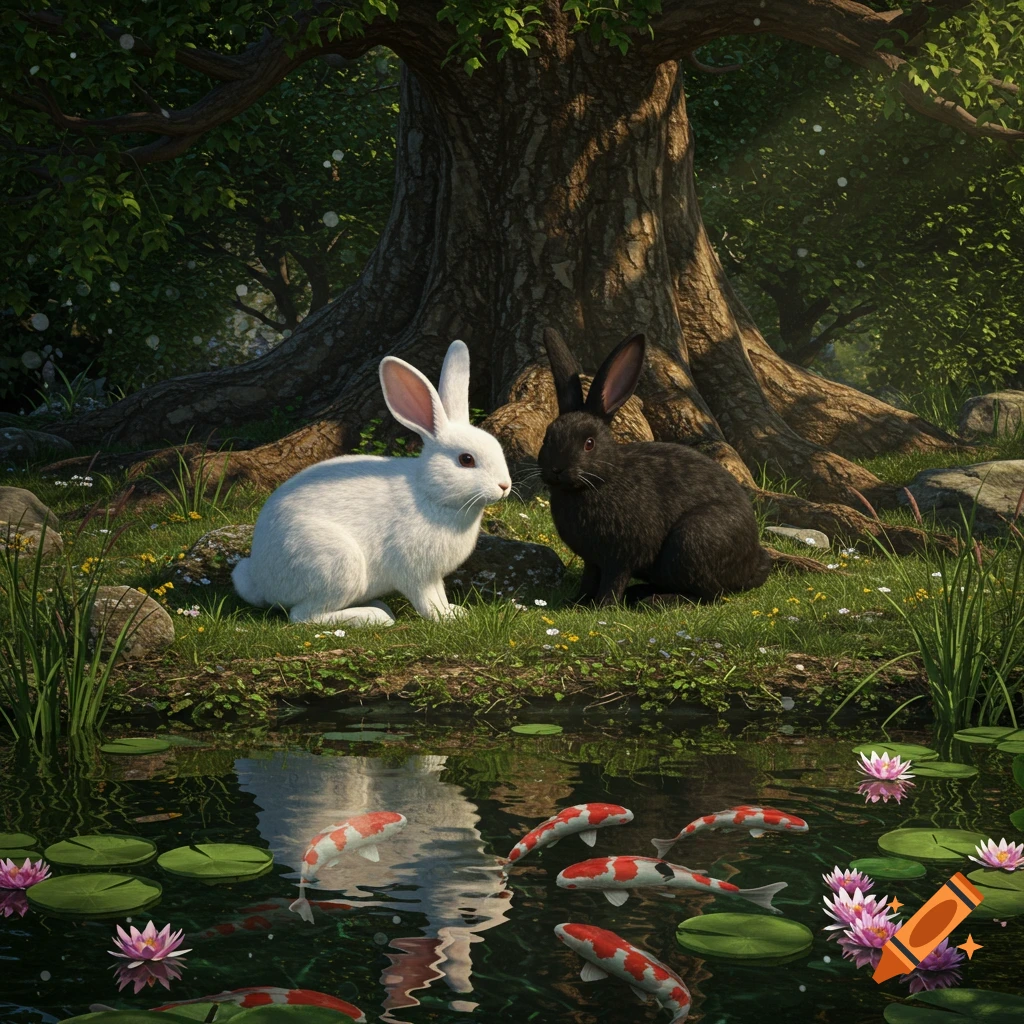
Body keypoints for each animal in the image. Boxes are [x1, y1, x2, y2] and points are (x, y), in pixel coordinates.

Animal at [232, 340, 512, 626]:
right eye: (466, 460)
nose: (504, 486)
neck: (429, 492)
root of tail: (261, 580)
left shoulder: (432, 575)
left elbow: (439, 595)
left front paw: (455, 612)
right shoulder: (416, 573)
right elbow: (427, 601)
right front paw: (444, 618)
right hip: (336, 564)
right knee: (304, 615)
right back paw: (376, 616)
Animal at [536, 327, 772, 606]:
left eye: (589, 444)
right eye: (547, 437)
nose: (556, 469)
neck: (601, 480)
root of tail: (752, 564)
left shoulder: (622, 556)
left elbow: (612, 582)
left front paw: (601, 606)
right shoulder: (592, 560)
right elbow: (589, 579)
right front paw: (576, 602)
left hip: (694, 538)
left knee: (710, 595)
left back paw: (656, 600)